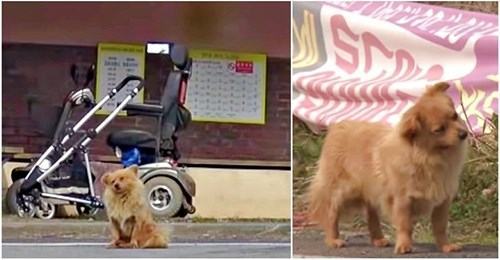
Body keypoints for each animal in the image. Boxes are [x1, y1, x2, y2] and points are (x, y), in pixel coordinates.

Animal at [308, 83, 468, 254]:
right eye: (439, 130)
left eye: (455, 116)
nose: (464, 133)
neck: (430, 157)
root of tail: (337, 126)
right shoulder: (403, 200)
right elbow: (405, 226)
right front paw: (404, 245)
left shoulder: (442, 202)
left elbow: (440, 227)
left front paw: (445, 246)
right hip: (341, 191)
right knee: (331, 213)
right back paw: (333, 240)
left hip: (372, 190)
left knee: (371, 214)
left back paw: (377, 239)